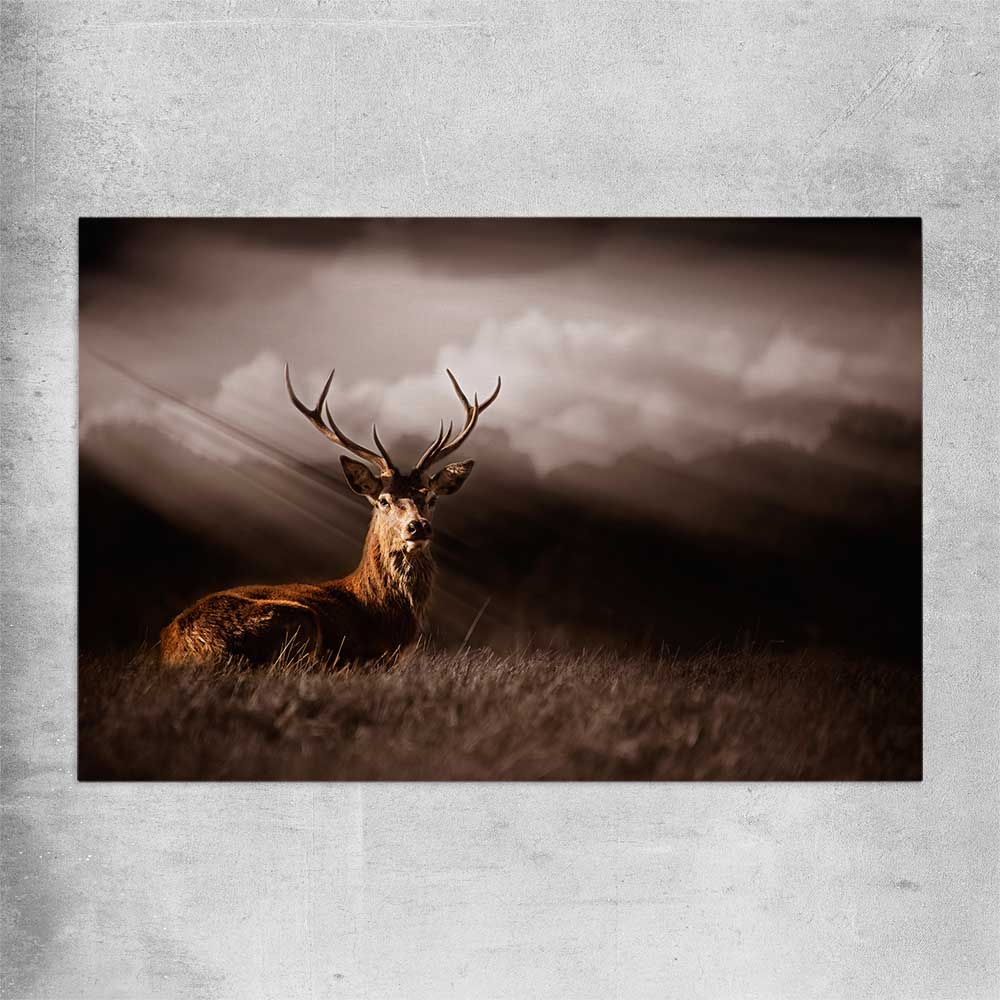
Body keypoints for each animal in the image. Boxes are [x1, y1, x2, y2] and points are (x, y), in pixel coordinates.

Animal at [159, 364, 500, 668]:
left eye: (430, 498)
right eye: (383, 500)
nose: (418, 527)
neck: (382, 613)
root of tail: (180, 648)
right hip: (297, 619)